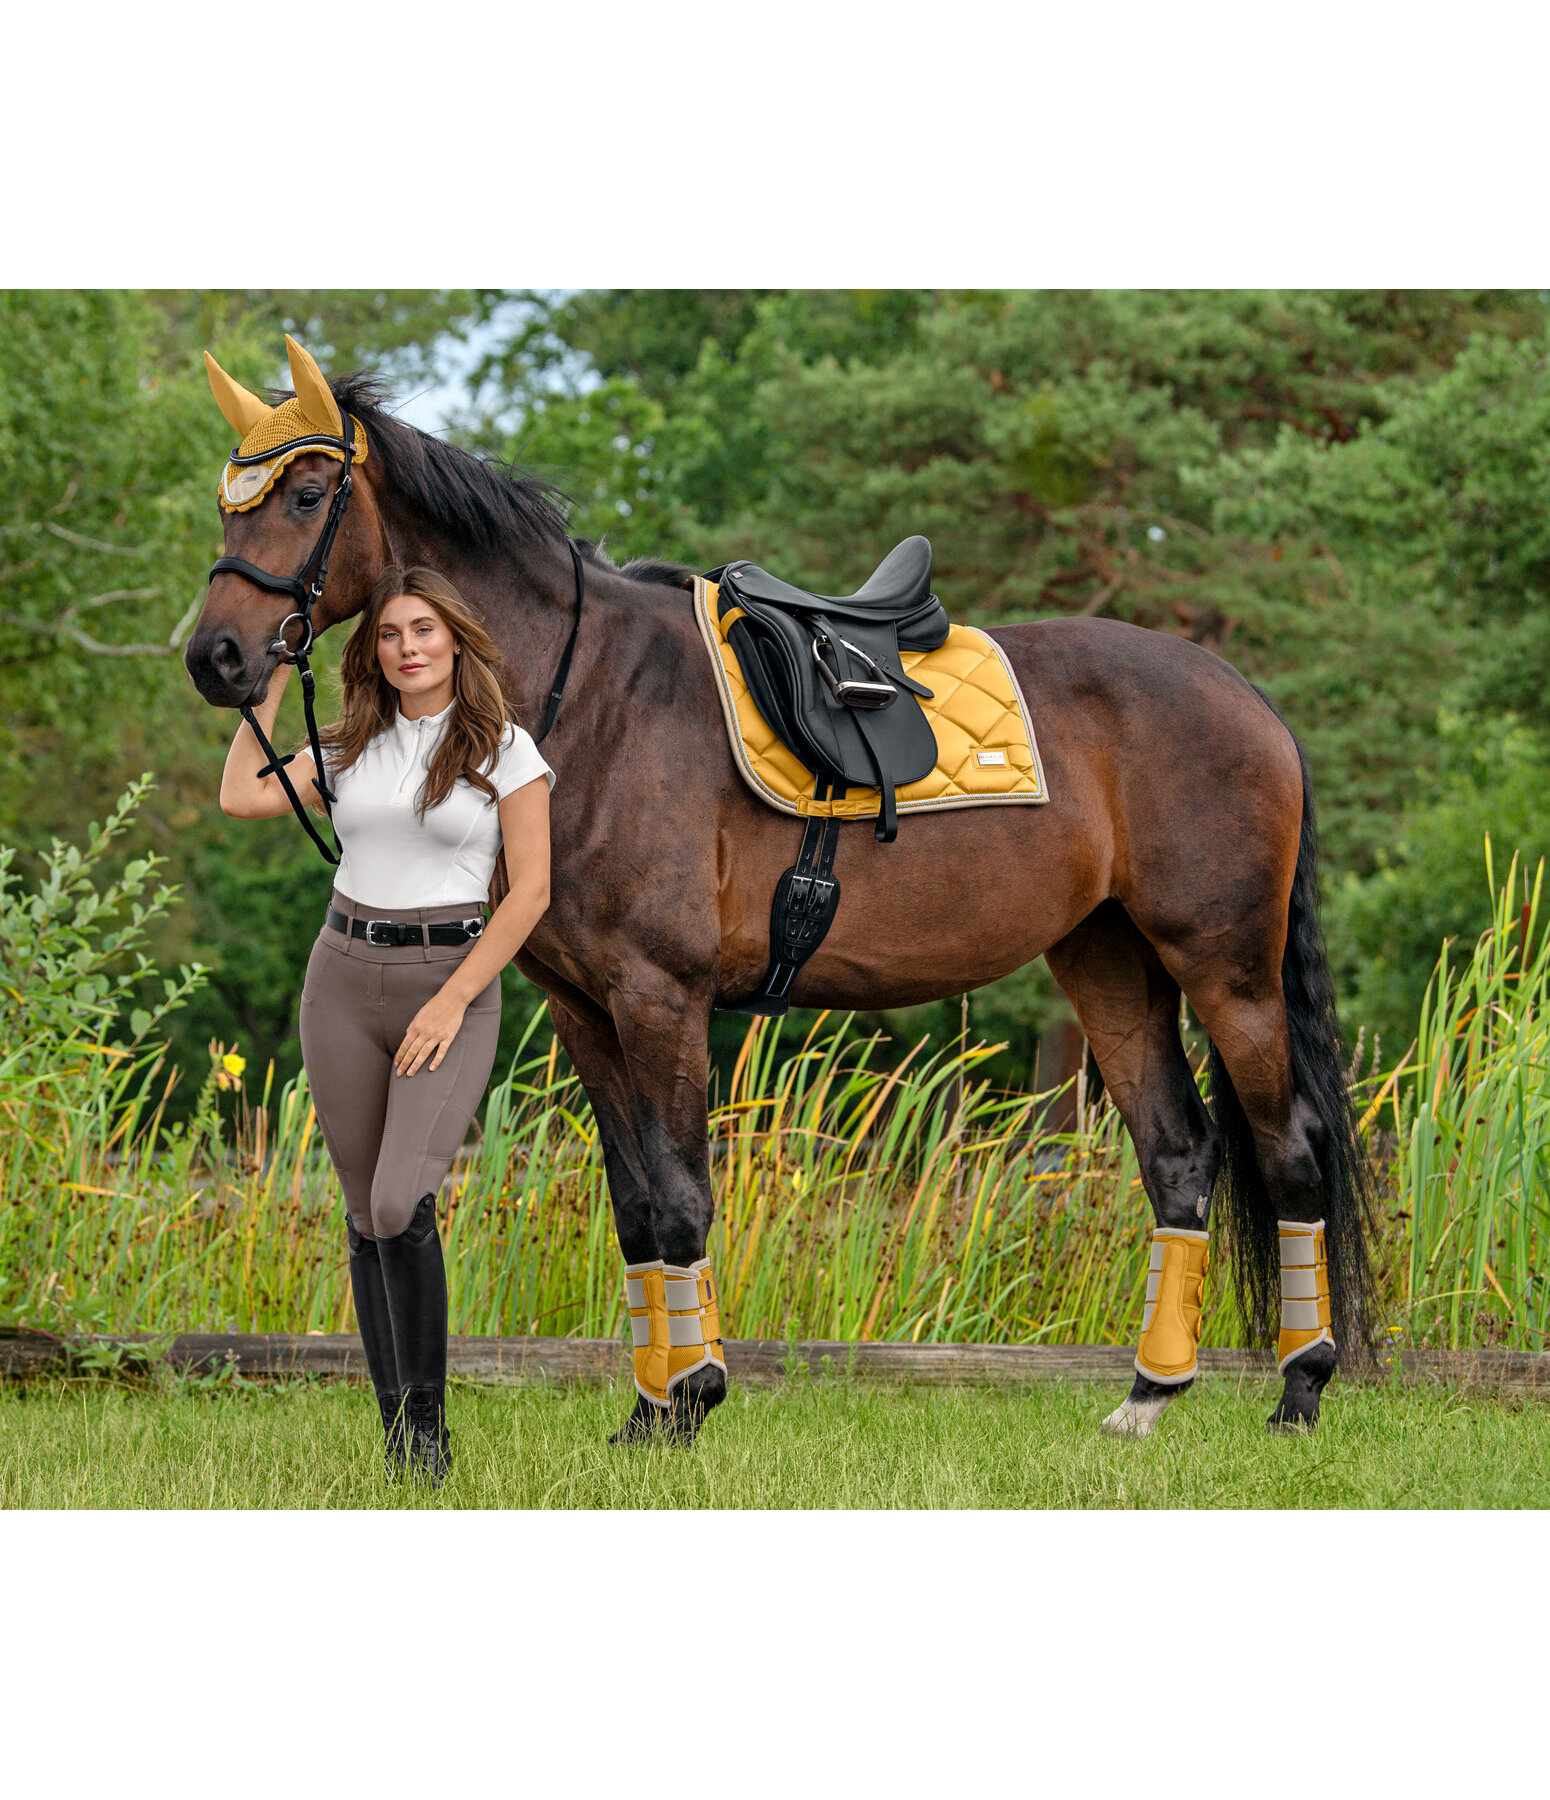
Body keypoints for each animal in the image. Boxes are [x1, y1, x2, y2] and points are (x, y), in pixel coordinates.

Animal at [184, 352, 1375, 1446]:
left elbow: (679, 1195)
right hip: (1109, 962)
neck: (591, 700)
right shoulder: (584, 1008)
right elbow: (635, 1208)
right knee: (1176, 1153)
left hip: (1224, 967)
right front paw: (648, 1406)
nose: (215, 657)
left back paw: (1300, 1387)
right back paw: (1146, 1396)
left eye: (305, 494)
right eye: (229, 500)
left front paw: (692, 1398)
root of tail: (1245, 696)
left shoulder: (659, 995)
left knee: (1292, 1148)